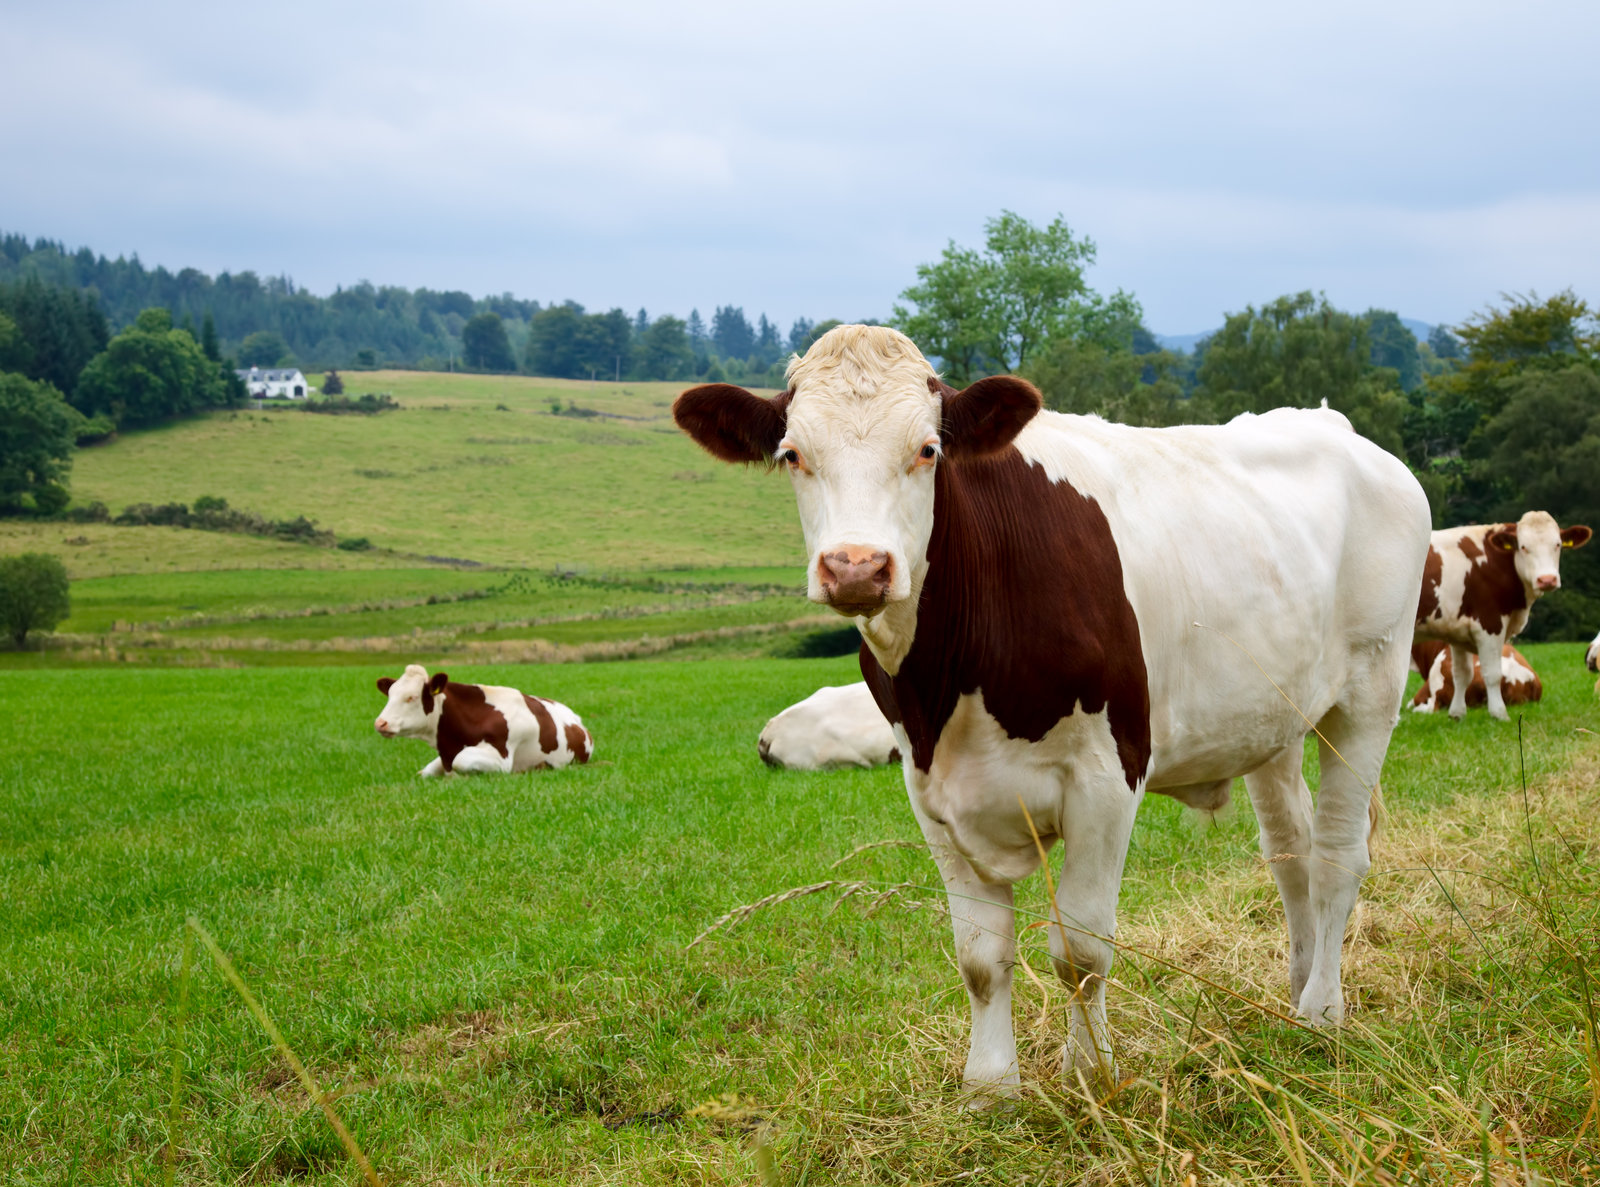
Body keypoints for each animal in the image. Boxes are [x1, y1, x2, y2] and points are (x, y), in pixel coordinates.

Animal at [373, 664, 592, 776]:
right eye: (390, 694)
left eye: (411, 697)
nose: (380, 723)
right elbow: (424, 772)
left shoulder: (502, 760)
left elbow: (460, 761)